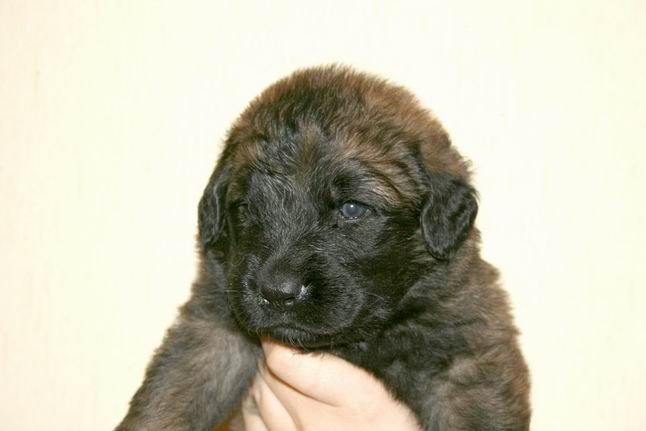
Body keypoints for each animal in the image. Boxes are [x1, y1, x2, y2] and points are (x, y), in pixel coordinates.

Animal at [116, 66, 531, 430]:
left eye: (351, 209)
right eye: (246, 207)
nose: (277, 292)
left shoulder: (466, 365)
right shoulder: (213, 331)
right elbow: (168, 396)